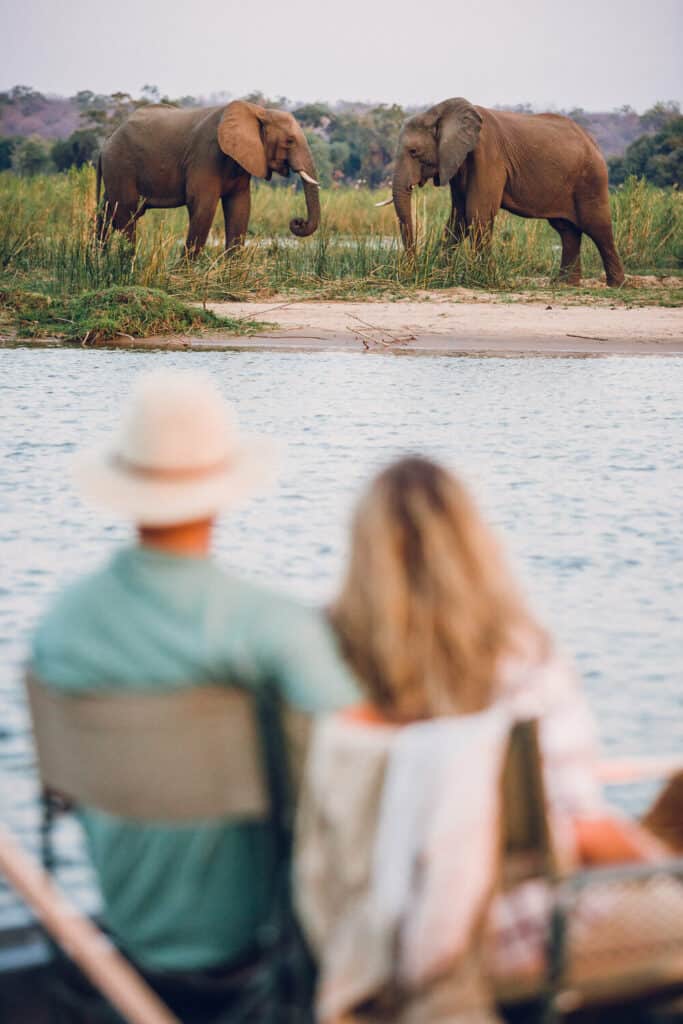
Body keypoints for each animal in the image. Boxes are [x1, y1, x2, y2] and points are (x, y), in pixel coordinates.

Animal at [95, 98, 321, 254]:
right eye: (290, 141)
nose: (297, 222)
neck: (258, 111)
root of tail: (107, 140)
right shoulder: (205, 155)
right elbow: (203, 206)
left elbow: (240, 207)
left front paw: (232, 276)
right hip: (120, 165)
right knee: (126, 213)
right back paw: (127, 263)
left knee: (107, 210)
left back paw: (99, 260)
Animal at [378, 97, 626, 286]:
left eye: (413, 151)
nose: (413, 270)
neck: (439, 112)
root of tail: (593, 142)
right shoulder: (458, 161)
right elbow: (458, 218)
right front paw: (440, 273)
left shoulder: (489, 154)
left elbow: (477, 213)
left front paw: (485, 279)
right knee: (567, 230)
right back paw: (564, 284)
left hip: (591, 178)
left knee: (597, 226)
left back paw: (616, 284)